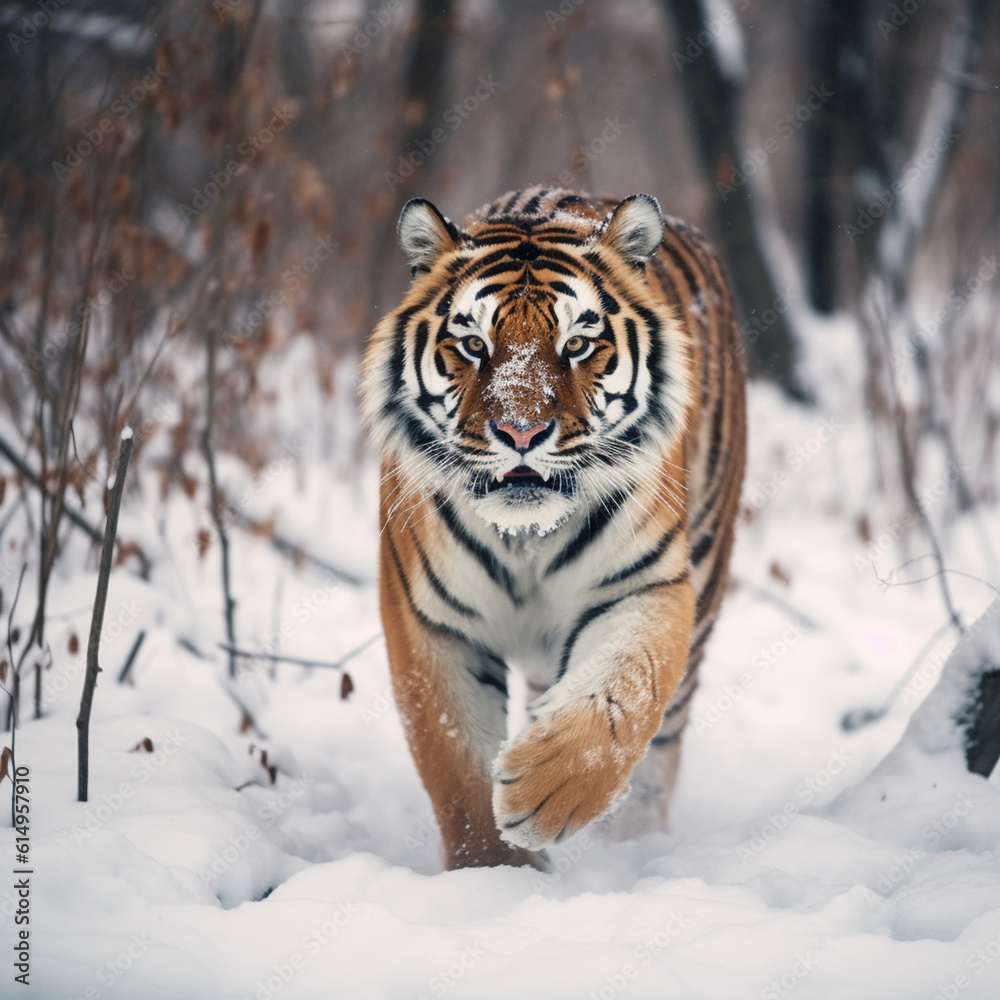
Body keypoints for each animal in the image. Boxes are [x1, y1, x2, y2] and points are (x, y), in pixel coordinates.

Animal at [359, 185, 746, 869]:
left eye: (577, 345)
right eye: (474, 346)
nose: (521, 433)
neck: (526, 539)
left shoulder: (643, 585)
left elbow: (619, 696)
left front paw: (542, 794)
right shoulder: (429, 619)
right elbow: (455, 762)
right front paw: (495, 870)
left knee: (662, 749)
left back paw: (634, 841)